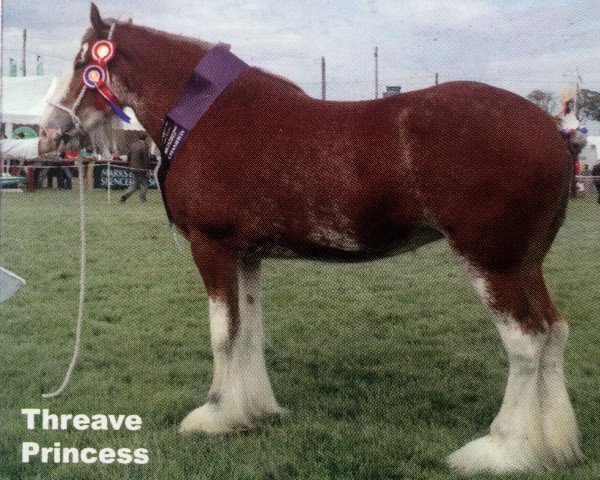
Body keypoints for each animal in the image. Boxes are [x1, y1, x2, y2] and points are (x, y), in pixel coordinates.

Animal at [39, 4, 584, 476]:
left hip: (491, 262)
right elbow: (248, 332)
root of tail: (552, 129)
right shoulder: (246, 255)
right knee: (555, 332)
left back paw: (502, 448)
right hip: (525, 263)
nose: (47, 132)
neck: (204, 115)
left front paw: (214, 415)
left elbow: (222, 334)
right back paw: (554, 446)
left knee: (527, 342)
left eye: (82, 63)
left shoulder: (211, 246)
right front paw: (254, 410)